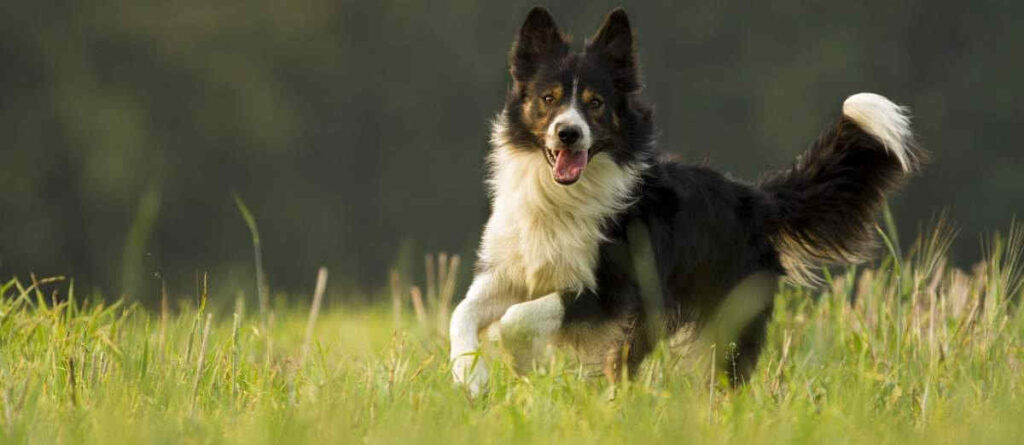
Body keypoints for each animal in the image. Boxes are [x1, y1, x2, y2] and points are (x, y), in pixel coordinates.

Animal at [448, 6, 921, 394]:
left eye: (596, 104)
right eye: (548, 98)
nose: (569, 133)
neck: (561, 197)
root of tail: (754, 199)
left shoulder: (609, 291)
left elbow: (516, 319)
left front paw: (519, 363)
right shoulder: (512, 270)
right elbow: (462, 312)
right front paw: (470, 378)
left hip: (719, 316)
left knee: (720, 376)